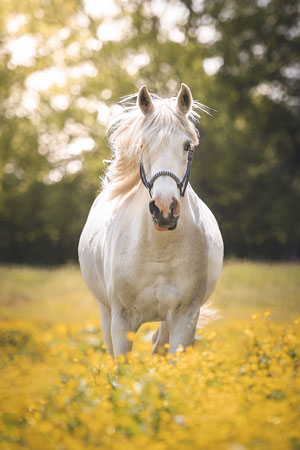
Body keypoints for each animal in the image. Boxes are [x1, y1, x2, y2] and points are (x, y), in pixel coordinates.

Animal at [78, 83, 224, 358]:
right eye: (142, 145)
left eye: (187, 146)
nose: (164, 209)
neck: (159, 251)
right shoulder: (121, 322)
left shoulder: (184, 318)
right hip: (105, 311)